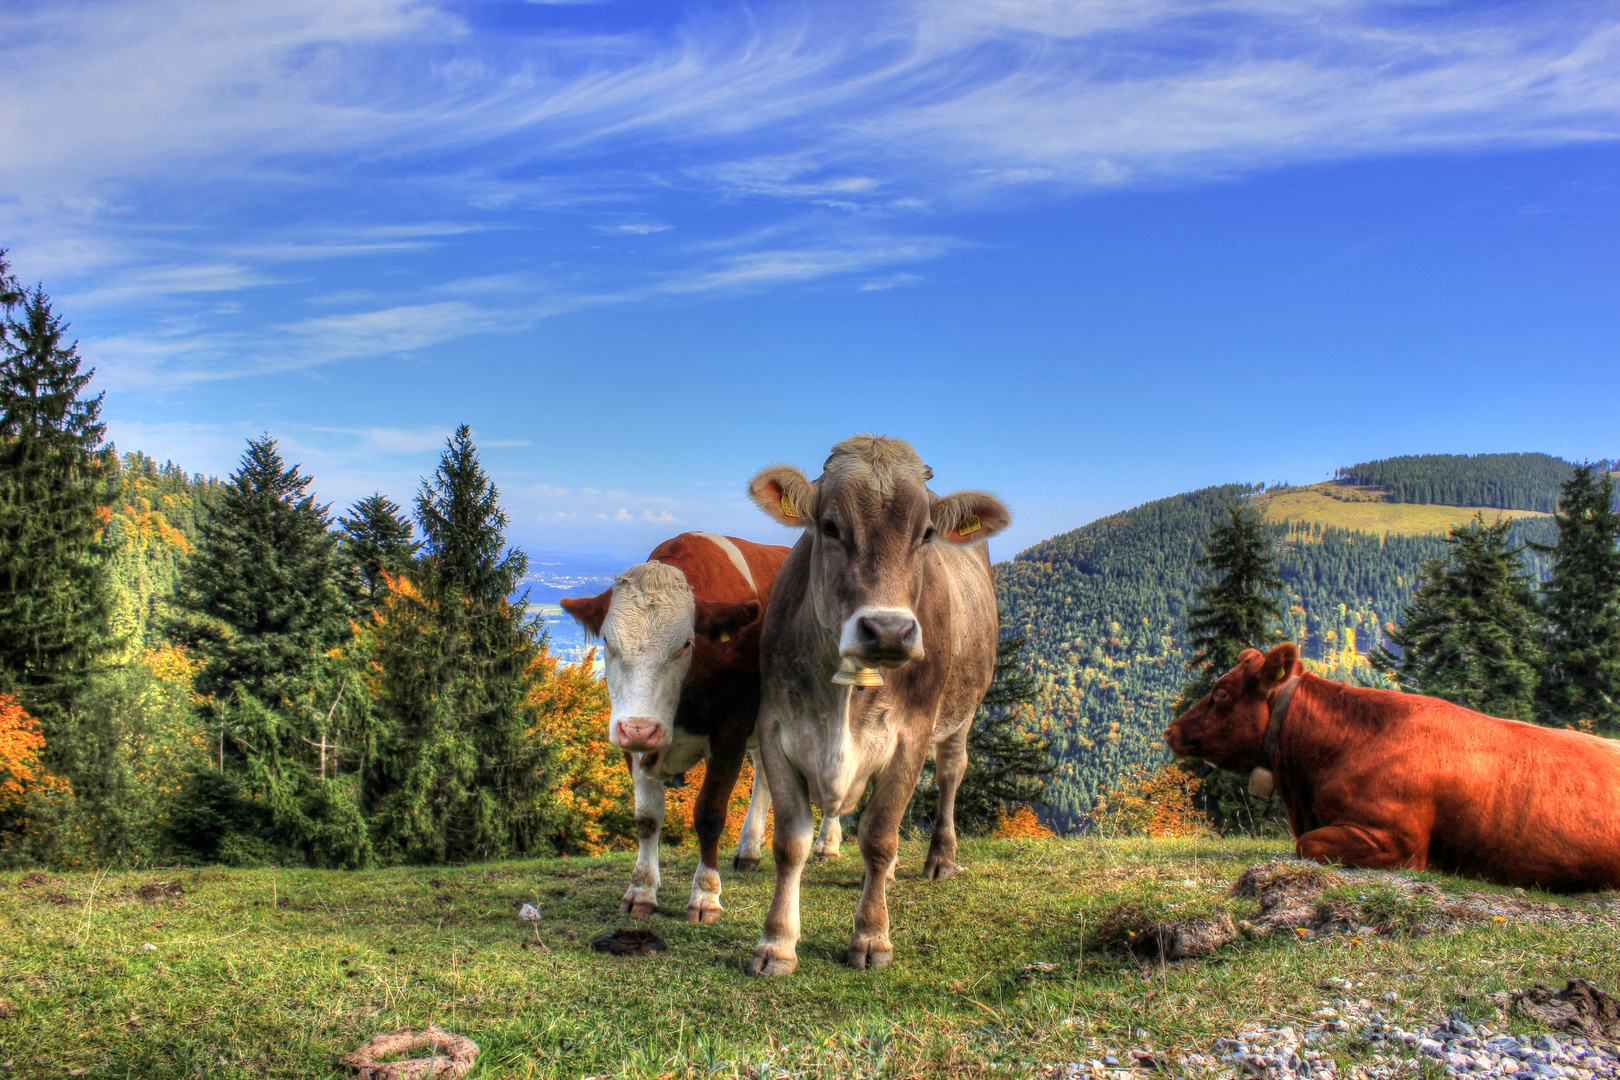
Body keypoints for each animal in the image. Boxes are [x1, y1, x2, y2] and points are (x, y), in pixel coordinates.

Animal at [563, 531, 790, 919]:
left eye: (686, 644)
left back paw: (826, 846)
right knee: (764, 768)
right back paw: (748, 849)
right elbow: (647, 817)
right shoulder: (633, 738)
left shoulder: (729, 732)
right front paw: (640, 891)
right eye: (608, 641)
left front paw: (706, 895)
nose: (640, 728)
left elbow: (710, 814)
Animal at [738, 433, 1010, 977]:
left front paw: (871, 935)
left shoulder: (911, 734)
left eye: (926, 534)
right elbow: (790, 842)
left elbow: (881, 837)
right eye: (829, 527)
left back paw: (939, 858)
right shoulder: (778, 730)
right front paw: (776, 942)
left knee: (950, 773)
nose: (888, 631)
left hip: (962, 713)